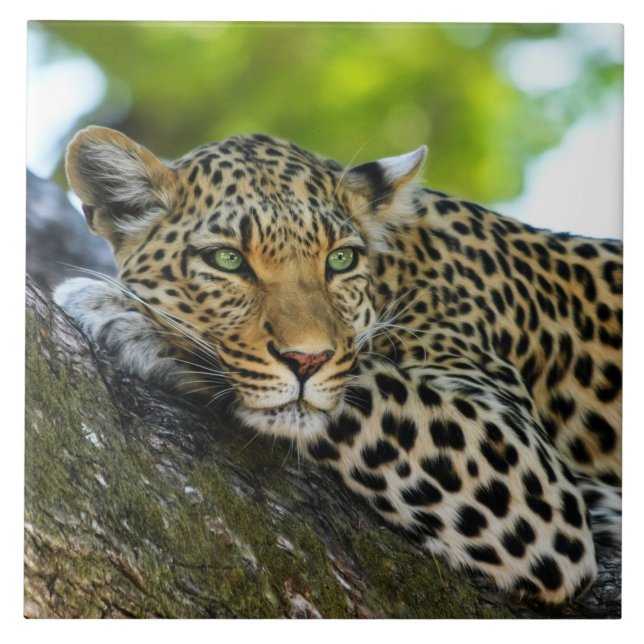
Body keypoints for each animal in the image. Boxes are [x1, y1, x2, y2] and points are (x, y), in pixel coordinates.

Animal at [54, 126, 622, 605]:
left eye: (340, 260)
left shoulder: (532, 476)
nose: (307, 359)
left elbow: (358, 383)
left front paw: (132, 319)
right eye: (227, 260)